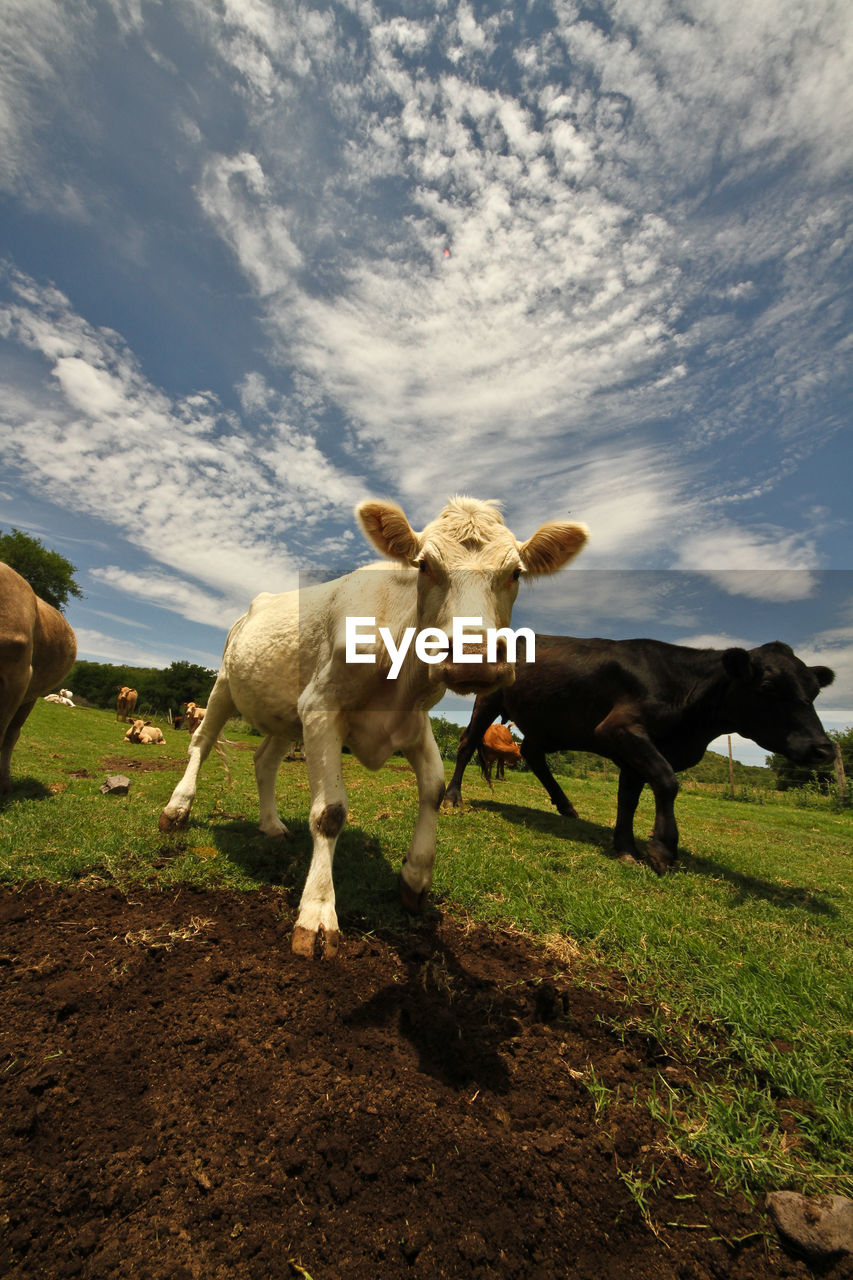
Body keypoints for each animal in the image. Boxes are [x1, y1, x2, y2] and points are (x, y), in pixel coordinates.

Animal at [157, 494, 584, 957]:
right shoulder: (321, 706)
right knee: (201, 742)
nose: (473, 656)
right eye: (425, 565)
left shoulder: (413, 721)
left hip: (284, 711)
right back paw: (177, 809)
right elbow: (330, 813)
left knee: (264, 761)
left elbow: (433, 790)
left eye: (516, 572)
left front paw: (415, 878)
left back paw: (270, 825)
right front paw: (317, 913)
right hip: (224, 684)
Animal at [440, 637, 835, 875]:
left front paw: (625, 846)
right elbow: (667, 781)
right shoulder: (619, 729)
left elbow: (628, 798)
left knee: (533, 754)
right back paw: (452, 797)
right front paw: (661, 849)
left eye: (814, 691)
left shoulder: (634, 750)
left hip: (547, 723)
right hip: (489, 700)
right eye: (768, 686)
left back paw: (566, 806)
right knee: (466, 744)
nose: (824, 748)